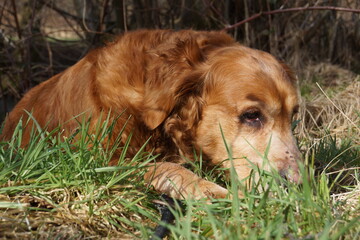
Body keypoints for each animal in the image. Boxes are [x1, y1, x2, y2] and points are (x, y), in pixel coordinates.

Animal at [1, 29, 302, 199]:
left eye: (293, 116)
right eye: (252, 115)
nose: (299, 185)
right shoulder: (99, 159)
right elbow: (165, 166)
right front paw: (208, 189)